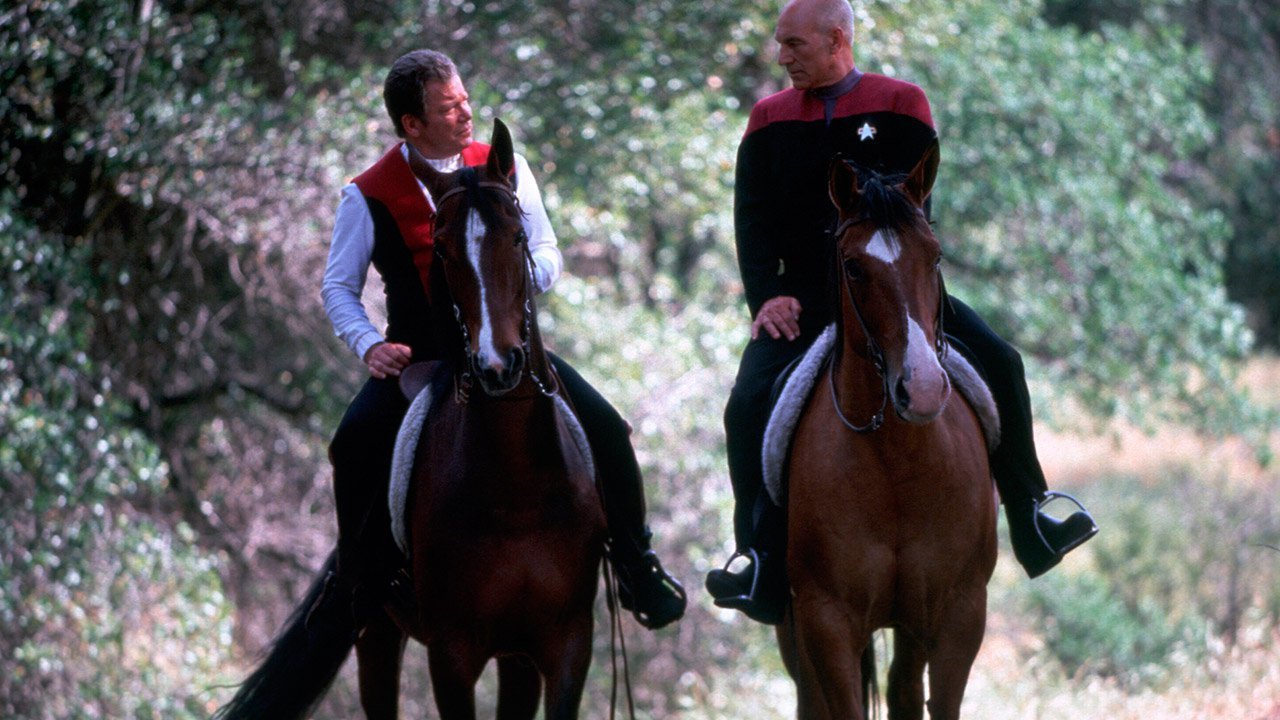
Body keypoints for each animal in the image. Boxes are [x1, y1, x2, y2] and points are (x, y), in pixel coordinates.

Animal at [215, 119, 604, 717]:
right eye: (440, 249)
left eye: (518, 237)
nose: (497, 366)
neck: (518, 490)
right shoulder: (451, 654)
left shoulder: (564, 645)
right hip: (376, 629)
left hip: (512, 656)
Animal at [778, 141, 998, 717]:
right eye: (854, 268)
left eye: (936, 256)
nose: (921, 389)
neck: (897, 464)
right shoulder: (826, 622)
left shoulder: (959, 615)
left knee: (903, 689)